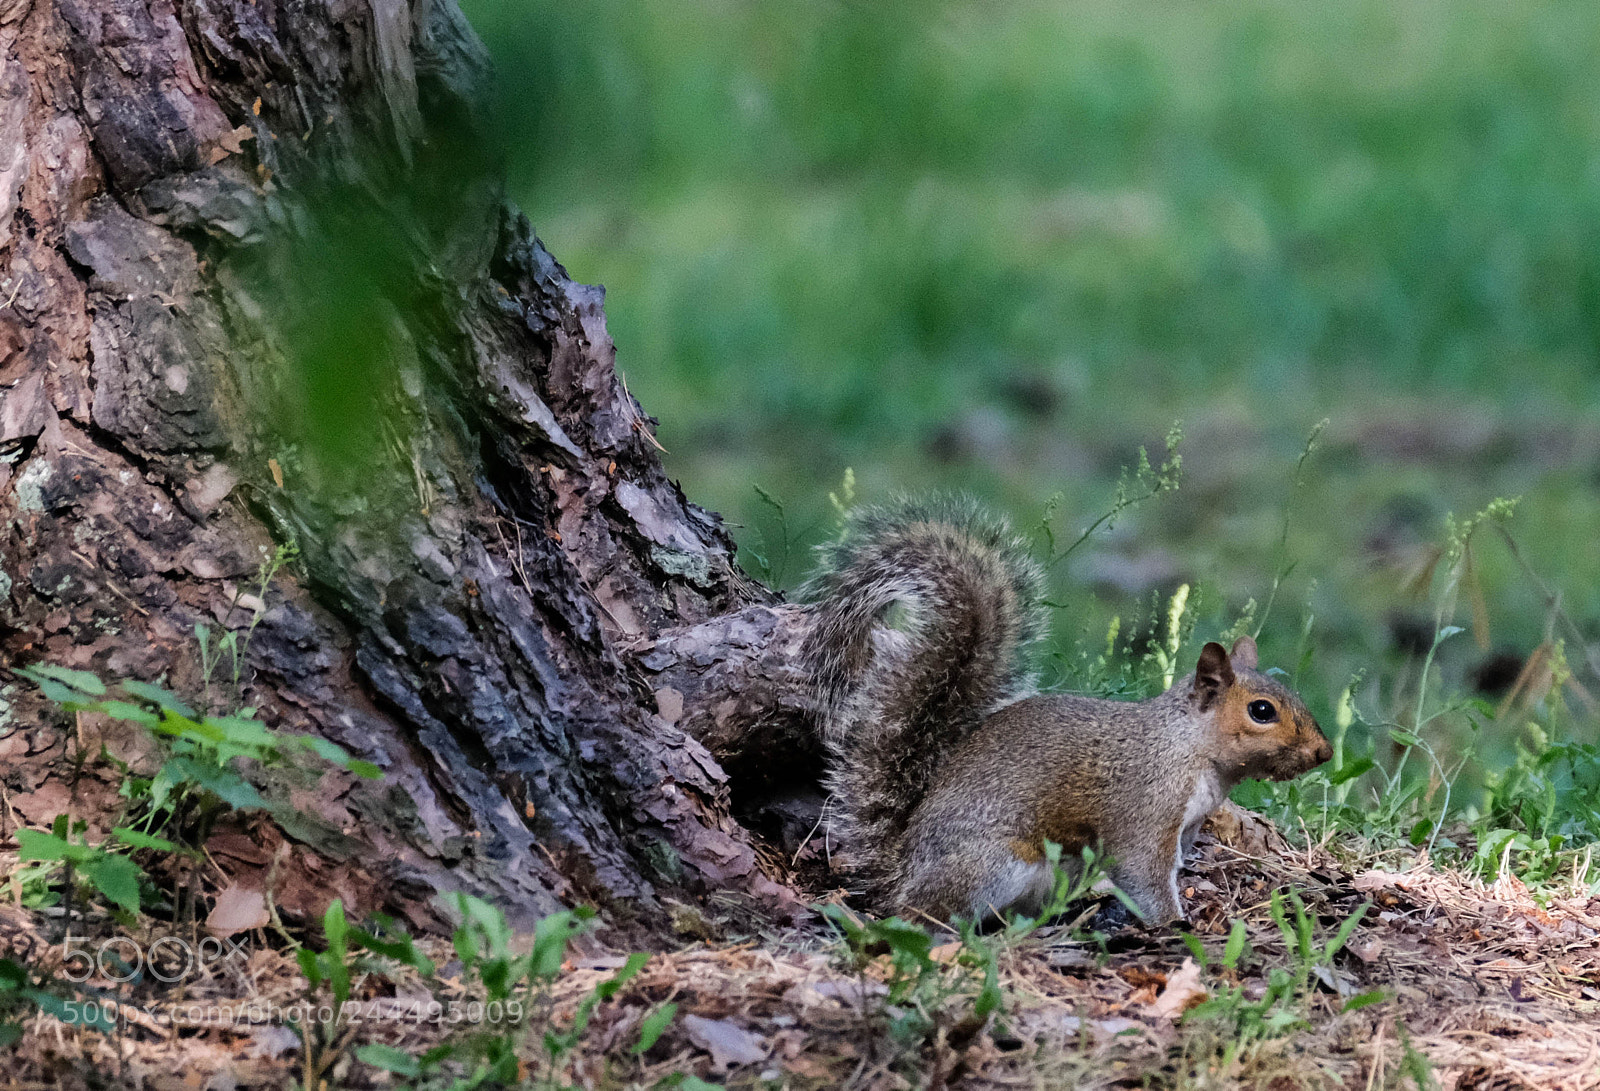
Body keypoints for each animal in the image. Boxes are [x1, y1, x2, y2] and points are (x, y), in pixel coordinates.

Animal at [800, 496, 1332, 925]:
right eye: (1261, 711)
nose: (1324, 753)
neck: (1190, 750)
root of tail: (901, 871)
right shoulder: (1144, 804)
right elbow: (1142, 870)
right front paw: (1174, 923)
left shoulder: (1187, 825)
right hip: (992, 863)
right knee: (926, 911)